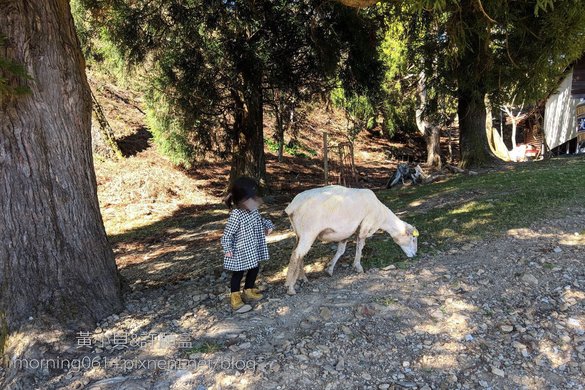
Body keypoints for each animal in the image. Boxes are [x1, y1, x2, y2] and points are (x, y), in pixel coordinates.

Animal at [282, 184, 416, 294]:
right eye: (413, 238)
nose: (414, 255)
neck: (382, 217)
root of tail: (292, 206)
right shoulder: (365, 226)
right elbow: (360, 247)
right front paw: (358, 267)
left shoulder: (345, 232)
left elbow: (341, 251)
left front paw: (329, 269)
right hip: (309, 232)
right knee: (297, 254)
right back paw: (290, 287)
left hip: (299, 234)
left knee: (298, 254)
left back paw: (302, 278)